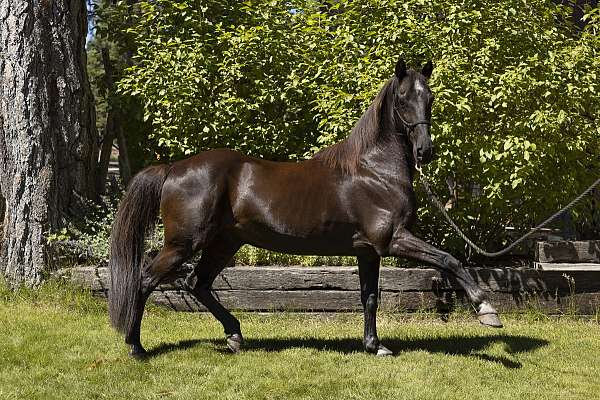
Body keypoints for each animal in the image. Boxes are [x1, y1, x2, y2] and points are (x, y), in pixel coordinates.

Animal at [108, 58, 502, 360]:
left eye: (429, 98)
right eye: (404, 98)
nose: (425, 152)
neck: (374, 170)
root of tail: (173, 168)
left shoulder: (368, 251)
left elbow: (370, 298)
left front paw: (375, 346)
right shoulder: (393, 240)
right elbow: (450, 260)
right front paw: (487, 311)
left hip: (224, 243)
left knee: (197, 284)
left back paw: (234, 336)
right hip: (183, 244)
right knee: (145, 280)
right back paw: (136, 348)